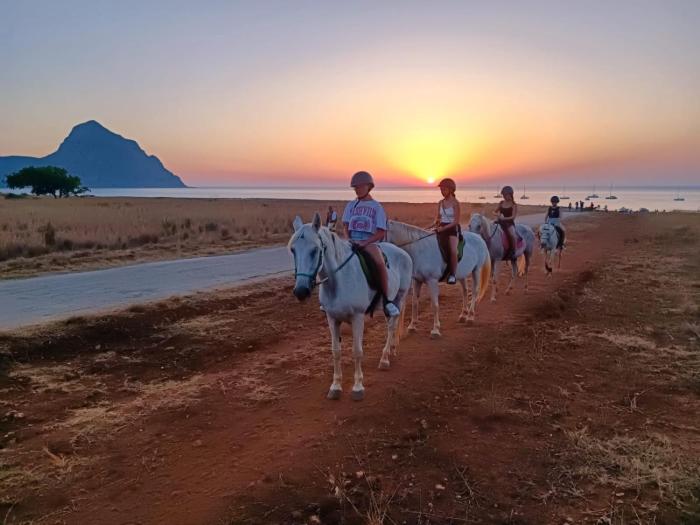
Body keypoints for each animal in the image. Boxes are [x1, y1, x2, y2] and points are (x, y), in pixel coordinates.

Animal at [288, 213, 412, 402]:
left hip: (399, 297)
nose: (301, 291)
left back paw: (384, 359)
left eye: (315, 250)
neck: (338, 281)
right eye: (293, 250)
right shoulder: (332, 319)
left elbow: (357, 351)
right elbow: (336, 352)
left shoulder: (358, 318)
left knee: (392, 326)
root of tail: (402, 252)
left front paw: (358, 387)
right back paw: (391, 349)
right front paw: (335, 386)